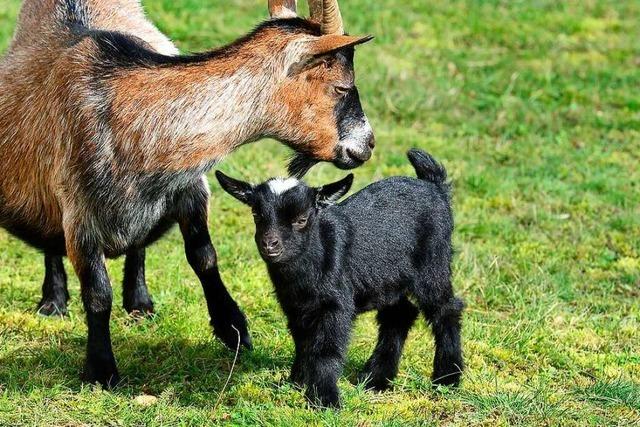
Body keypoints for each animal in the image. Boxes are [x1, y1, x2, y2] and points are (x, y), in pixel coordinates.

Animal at [0, 0, 376, 388]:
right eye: (342, 87)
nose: (368, 144)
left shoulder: (190, 189)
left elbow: (204, 256)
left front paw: (232, 328)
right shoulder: (79, 210)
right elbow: (97, 293)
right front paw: (102, 370)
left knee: (137, 244)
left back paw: (139, 302)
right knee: (51, 240)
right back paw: (53, 301)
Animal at [218, 150, 462, 408]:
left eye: (302, 219)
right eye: (256, 214)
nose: (270, 245)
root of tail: (435, 187)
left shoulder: (335, 305)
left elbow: (326, 350)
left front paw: (325, 399)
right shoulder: (295, 305)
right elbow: (303, 342)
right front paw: (296, 381)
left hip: (432, 264)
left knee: (446, 309)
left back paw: (447, 377)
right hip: (387, 279)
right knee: (399, 314)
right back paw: (376, 378)